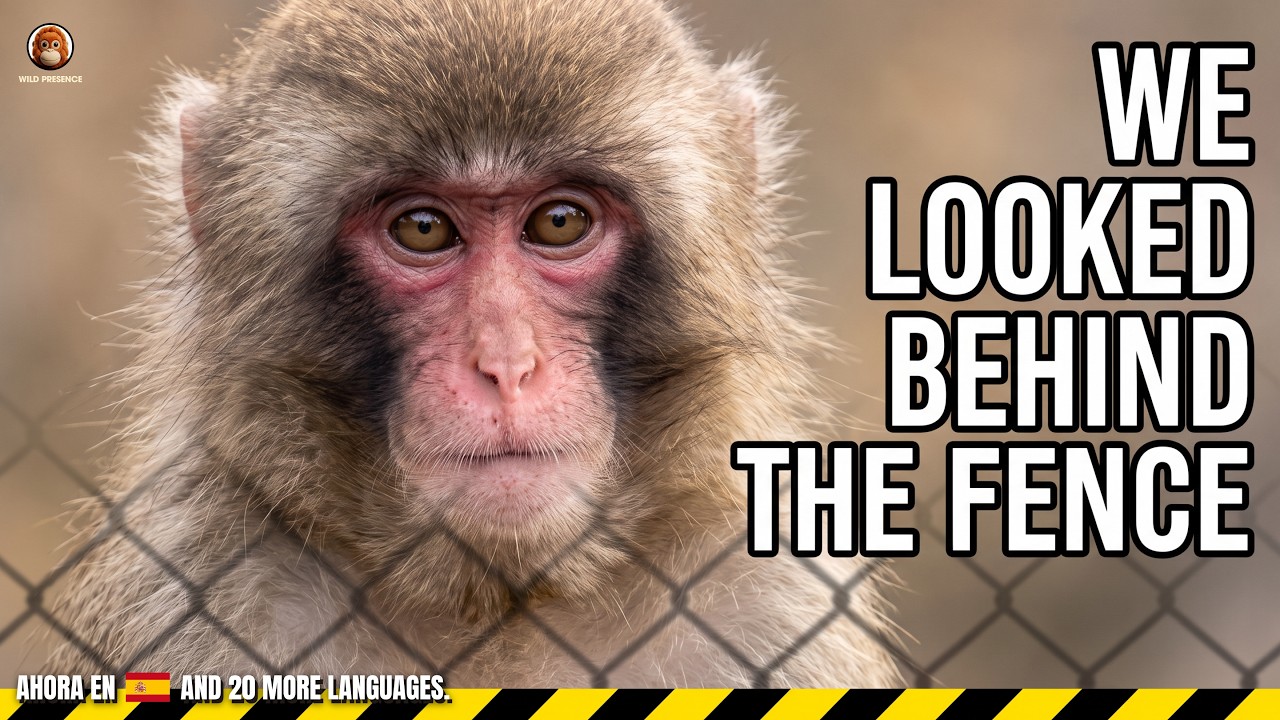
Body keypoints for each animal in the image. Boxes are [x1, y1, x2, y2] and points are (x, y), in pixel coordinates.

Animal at [46, 0, 903, 688]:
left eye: (560, 222)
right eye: (422, 229)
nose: (507, 365)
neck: (501, 602)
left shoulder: (767, 598)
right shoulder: (193, 588)